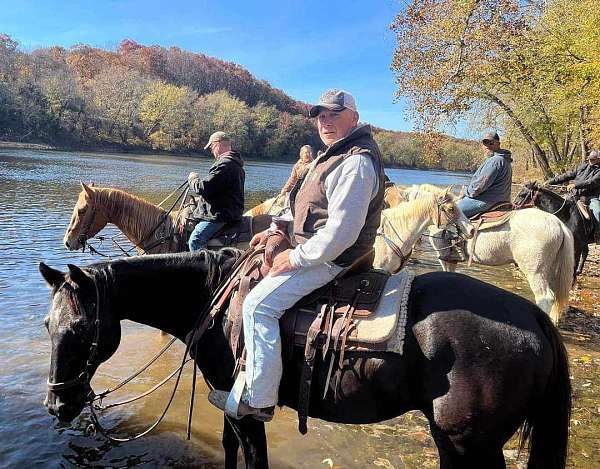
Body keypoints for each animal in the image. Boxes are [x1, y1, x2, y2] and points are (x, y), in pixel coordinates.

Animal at [39, 249, 568, 468]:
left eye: (81, 329)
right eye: (47, 326)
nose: (57, 406)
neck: (212, 296)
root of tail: (534, 317)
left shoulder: (248, 411)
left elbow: (255, 459)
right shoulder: (227, 403)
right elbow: (230, 452)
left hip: (466, 443)